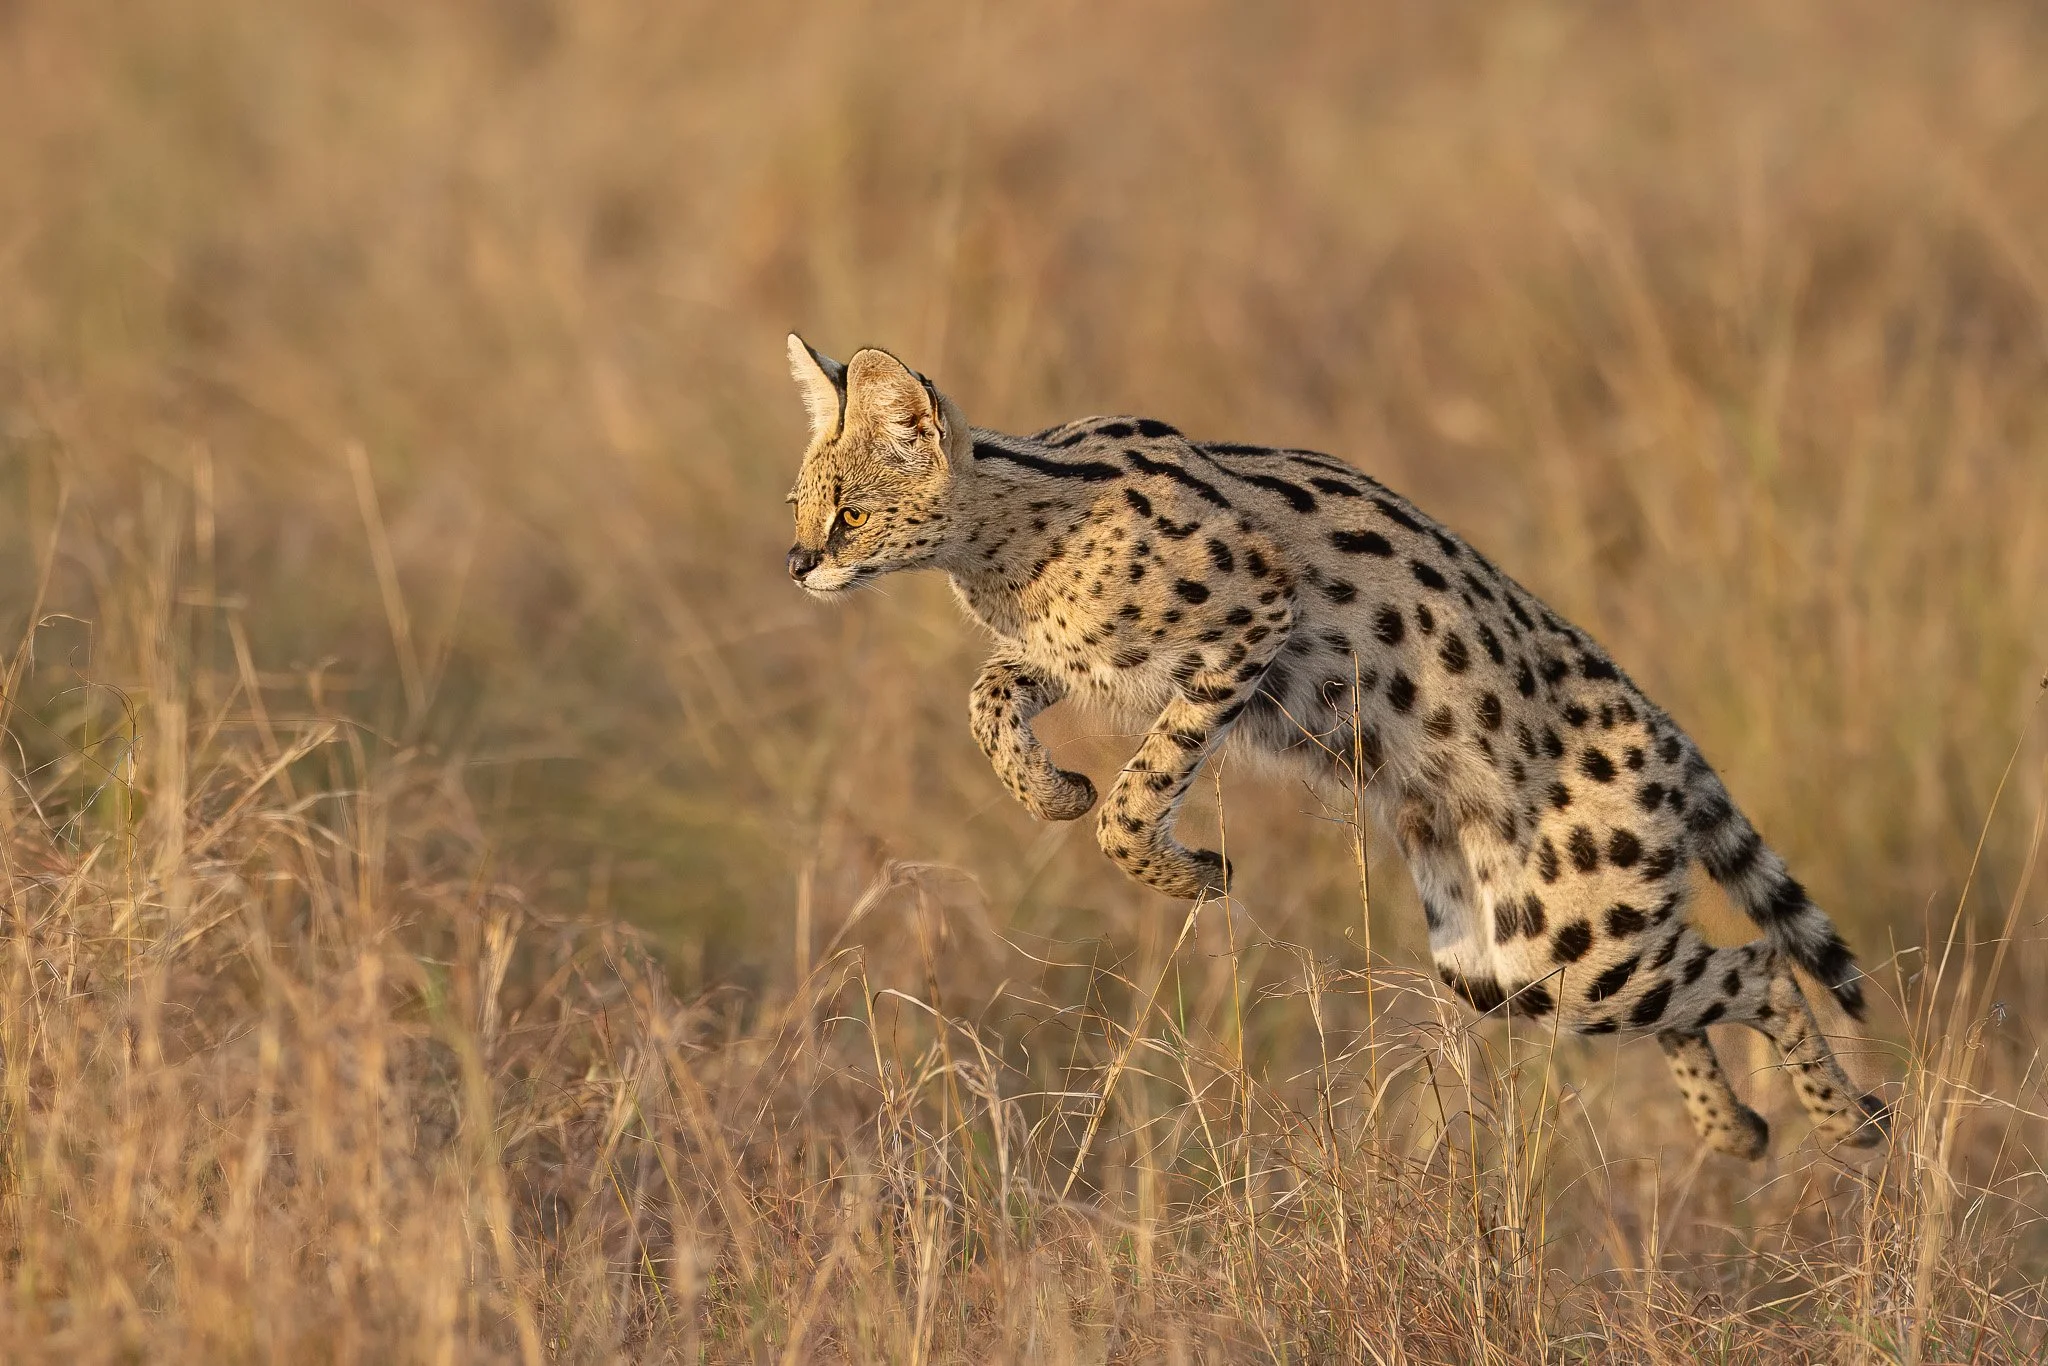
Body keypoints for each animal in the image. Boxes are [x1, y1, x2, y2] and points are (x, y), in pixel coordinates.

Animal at [778, 333, 1886, 1157]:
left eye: (850, 513)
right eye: (798, 503)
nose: (793, 564)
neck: (1005, 539)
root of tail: (1666, 732)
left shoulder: (1249, 622)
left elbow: (1137, 797)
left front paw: (1181, 870)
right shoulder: (1086, 658)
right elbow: (991, 697)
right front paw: (1052, 791)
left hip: (1580, 940)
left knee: (1761, 967)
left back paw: (1847, 1123)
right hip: (1512, 961)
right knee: (1698, 988)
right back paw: (1737, 1128)